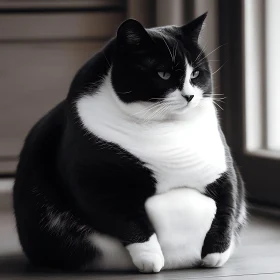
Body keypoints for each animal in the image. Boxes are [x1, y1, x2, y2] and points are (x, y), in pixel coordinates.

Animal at [13, 13, 245, 274]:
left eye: (195, 74)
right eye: (163, 74)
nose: (189, 96)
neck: (166, 129)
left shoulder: (222, 169)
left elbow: (227, 205)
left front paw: (216, 254)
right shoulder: (95, 181)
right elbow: (127, 220)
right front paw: (150, 259)